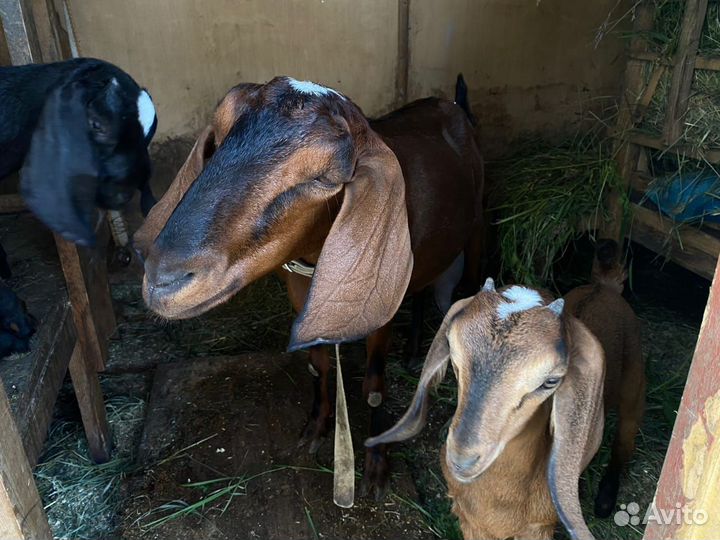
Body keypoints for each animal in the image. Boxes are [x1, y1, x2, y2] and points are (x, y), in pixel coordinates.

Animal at [133, 75, 485, 499]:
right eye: (215, 140)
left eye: (325, 178)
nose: (163, 278)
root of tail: (453, 104)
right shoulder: (301, 293)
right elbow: (318, 366)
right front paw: (316, 428)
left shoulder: (378, 304)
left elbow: (374, 385)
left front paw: (377, 465)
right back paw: (415, 349)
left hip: (476, 226)